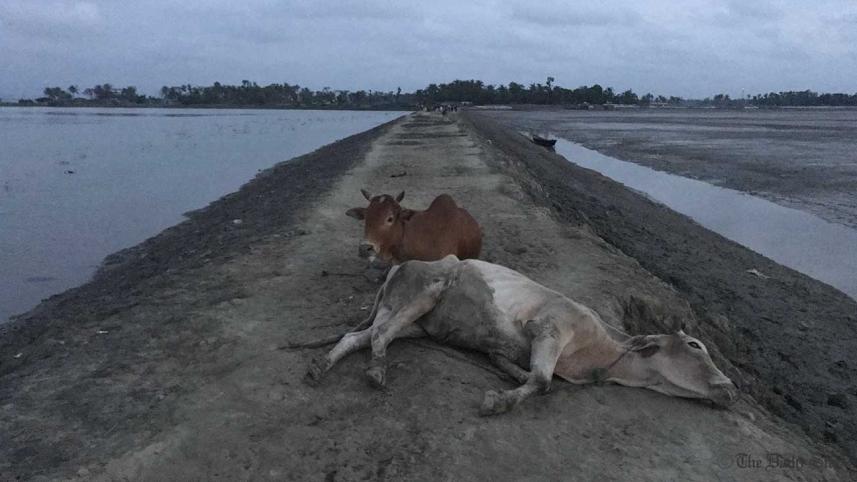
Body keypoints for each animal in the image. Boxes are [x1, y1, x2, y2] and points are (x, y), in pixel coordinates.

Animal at [304, 256, 738, 415]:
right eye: (695, 344)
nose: (731, 388)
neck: (600, 356)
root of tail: (400, 265)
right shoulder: (551, 327)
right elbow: (543, 381)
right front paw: (498, 400)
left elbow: (534, 377)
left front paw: (511, 377)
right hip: (424, 293)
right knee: (378, 338)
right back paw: (376, 370)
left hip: (410, 319)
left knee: (357, 337)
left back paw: (320, 368)